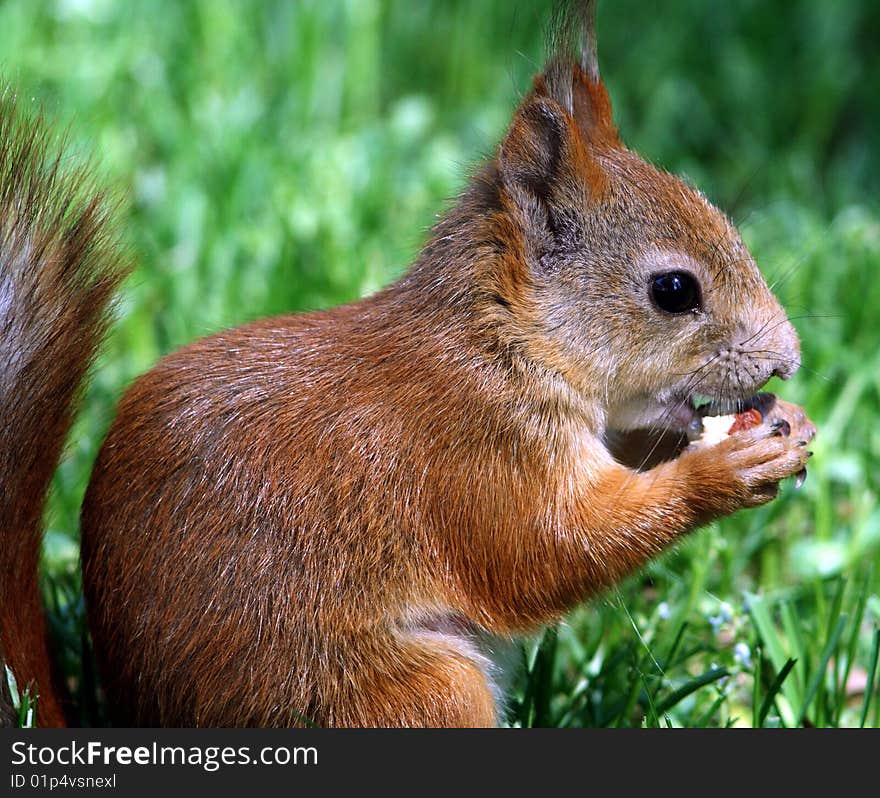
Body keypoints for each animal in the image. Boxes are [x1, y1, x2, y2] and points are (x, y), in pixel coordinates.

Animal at [0, 0, 816, 728]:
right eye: (674, 290)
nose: (788, 361)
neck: (504, 347)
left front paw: (783, 424)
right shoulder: (475, 457)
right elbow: (548, 551)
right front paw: (721, 473)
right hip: (419, 692)